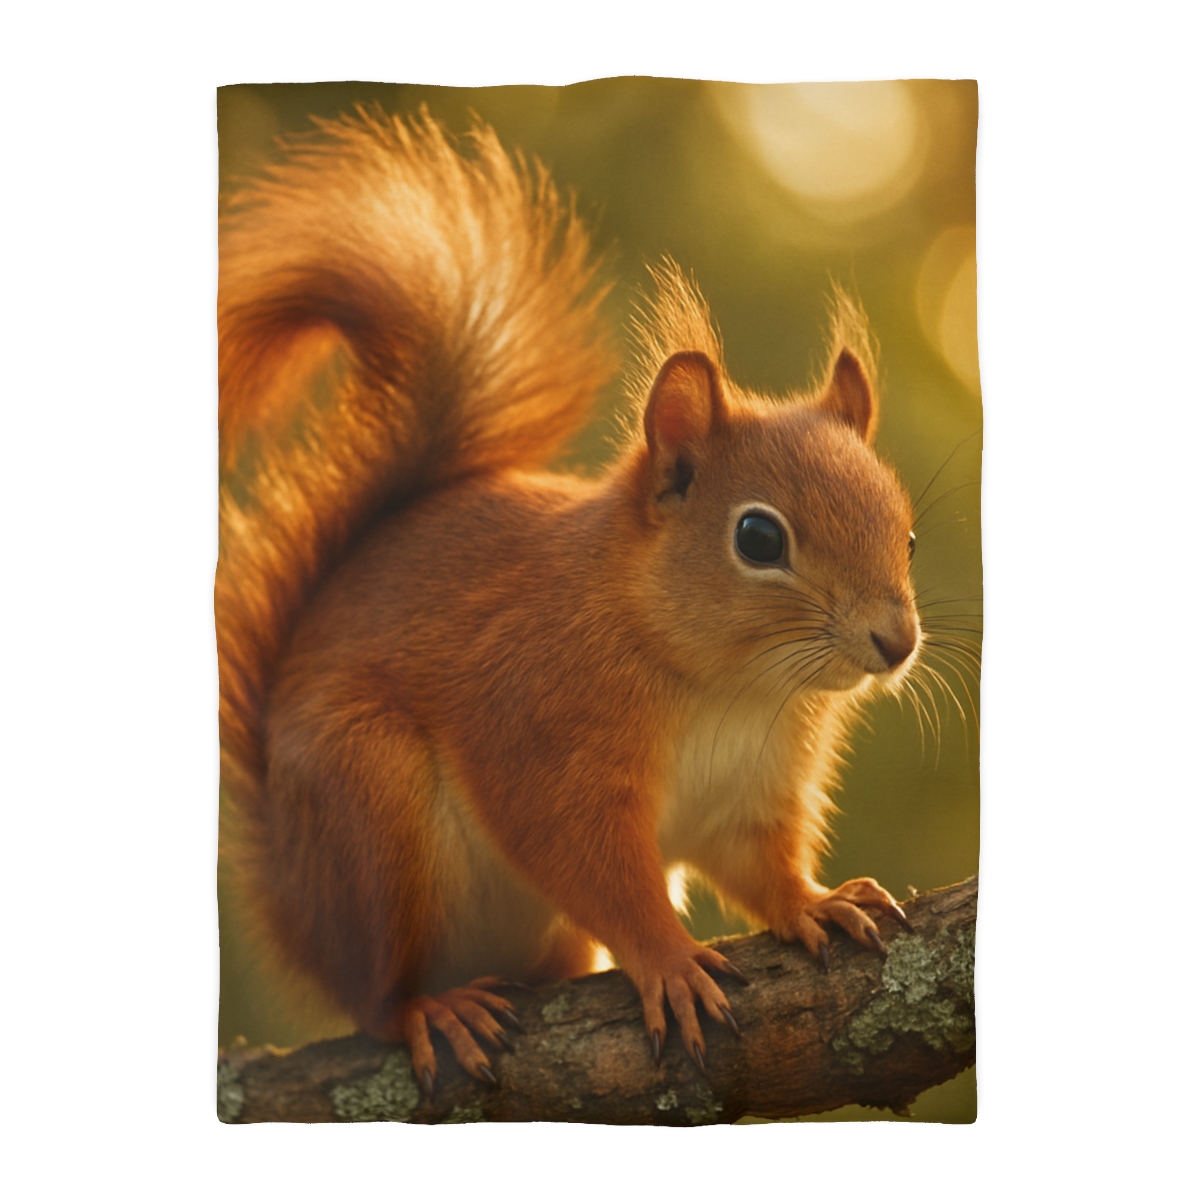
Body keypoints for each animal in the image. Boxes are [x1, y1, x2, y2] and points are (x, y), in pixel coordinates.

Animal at [217, 108, 921, 1096]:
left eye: (907, 536)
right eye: (758, 538)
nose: (896, 642)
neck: (729, 685)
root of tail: (287, 893)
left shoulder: (754, 788)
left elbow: (758, 864)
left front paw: (815, 902)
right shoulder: (540, 730)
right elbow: (590, 865)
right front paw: (668, 959)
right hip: (367, 812)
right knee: (375, 993)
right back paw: (432, 1009)